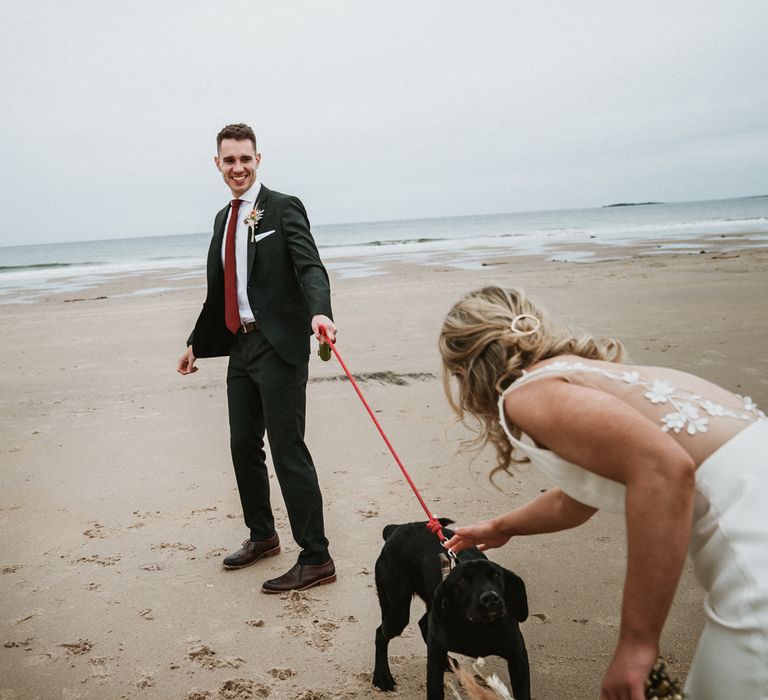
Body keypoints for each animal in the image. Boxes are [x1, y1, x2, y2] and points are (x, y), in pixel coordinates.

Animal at [370, 520, 528, 700]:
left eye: (496, 575)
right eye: (462, 581)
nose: (490, 598)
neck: (477, 628)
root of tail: (398, 528)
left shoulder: (518, 656)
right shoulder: (434, 662)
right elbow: (434, 688)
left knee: (423, 623)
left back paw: (447, 661)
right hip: (397, 612)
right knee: (381, 634)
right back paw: (382, 676)